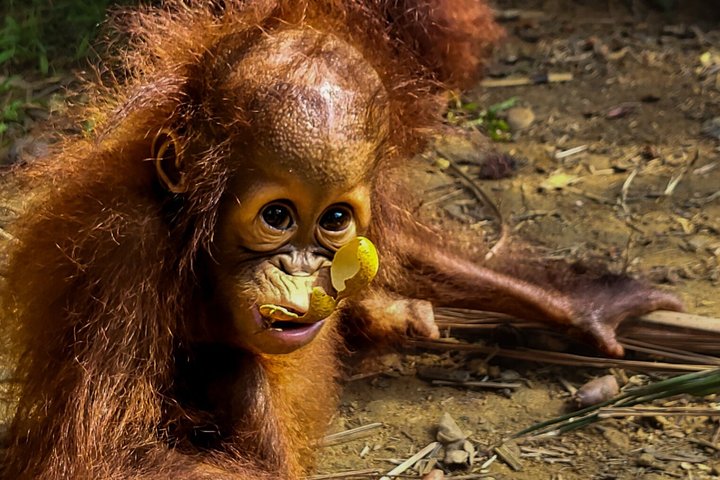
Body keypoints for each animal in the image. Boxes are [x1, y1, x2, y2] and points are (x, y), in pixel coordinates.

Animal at [0, 1, 681, 479]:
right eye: (277, 215)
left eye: (333, 220)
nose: (305, 268)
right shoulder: (124, 254)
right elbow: (109, 454)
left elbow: (399, 250)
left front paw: (592, 304)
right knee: (235, 367)